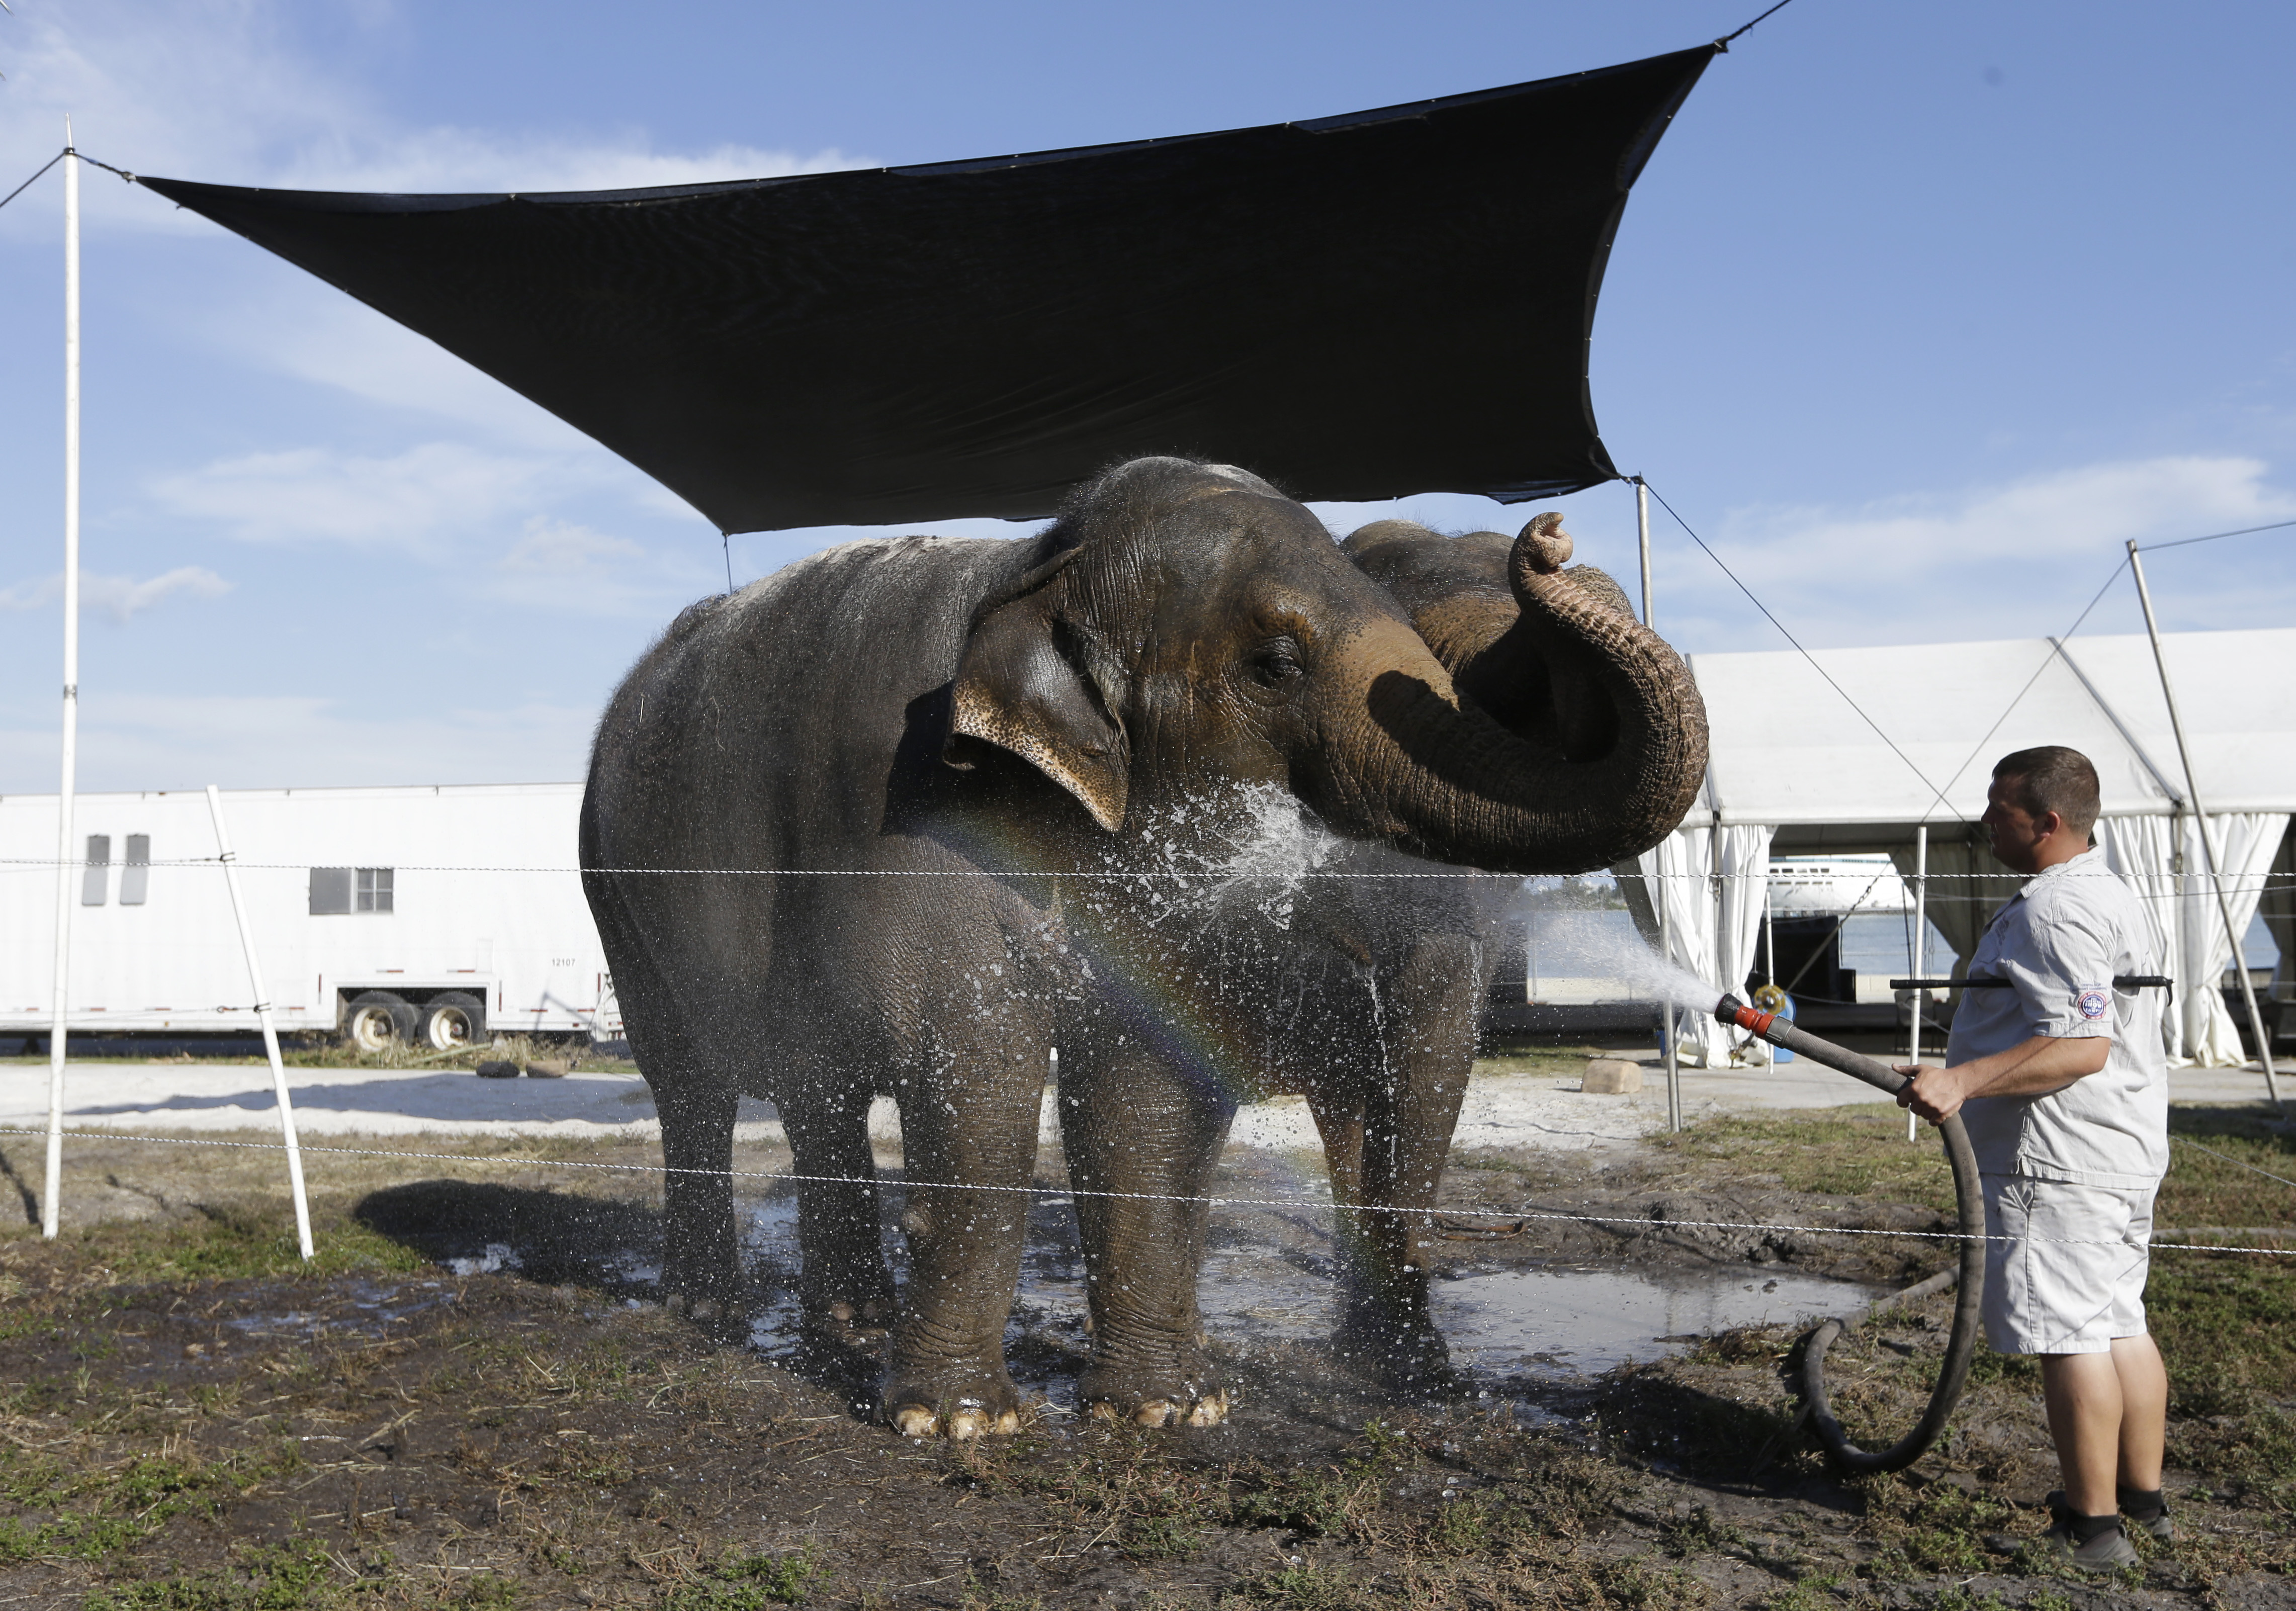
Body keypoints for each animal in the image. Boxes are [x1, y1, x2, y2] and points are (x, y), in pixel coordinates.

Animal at [580, 456, 1706, 1438]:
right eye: (1275, 665)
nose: (1549, 533)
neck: (1042, 562)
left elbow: (1146, 1084)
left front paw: (1170, 1410)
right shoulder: (914, 815)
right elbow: (974, 1063)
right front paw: (958, 1425)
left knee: (818, 1095)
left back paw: (850, 1327)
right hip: (615, 889)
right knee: (692, 1084)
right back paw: (712, 1314)